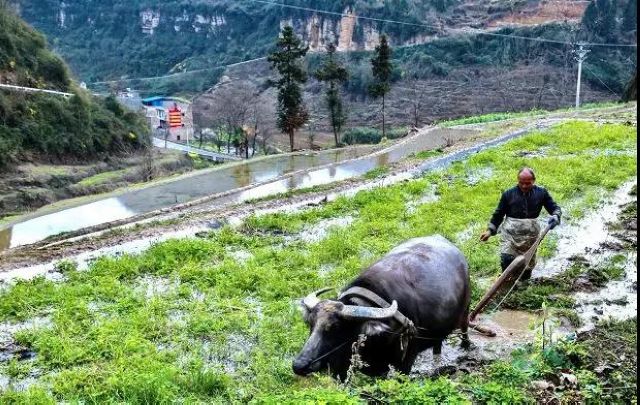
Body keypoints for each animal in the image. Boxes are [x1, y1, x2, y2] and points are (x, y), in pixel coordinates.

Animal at [294, 235, 470, 378]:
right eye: (310, 324)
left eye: (335, 328)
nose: (299, 365)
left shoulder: (406, 361)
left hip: (465, 311)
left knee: (464, 327)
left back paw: (465, 346)